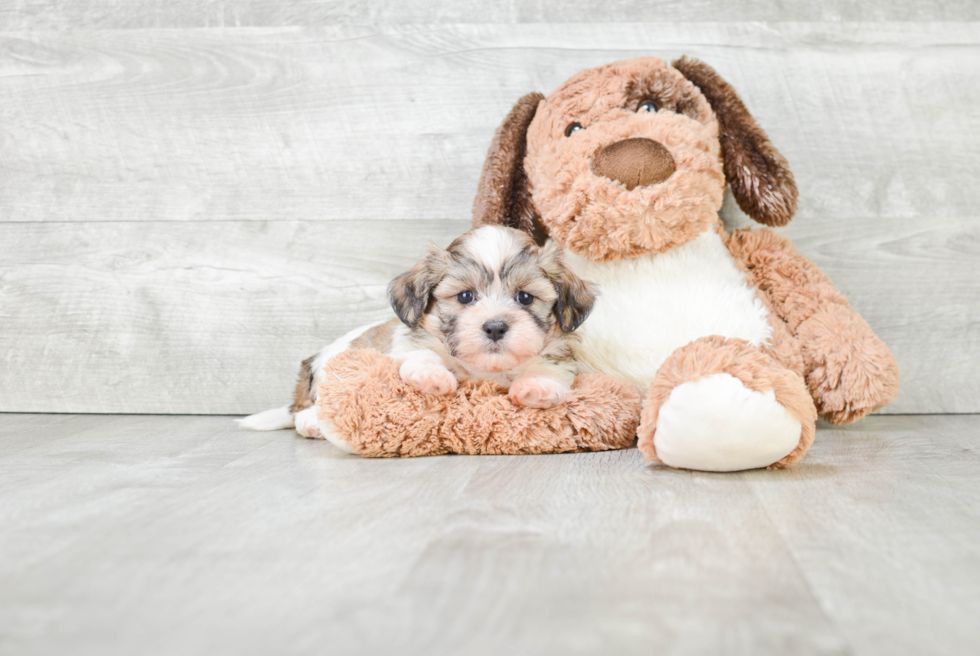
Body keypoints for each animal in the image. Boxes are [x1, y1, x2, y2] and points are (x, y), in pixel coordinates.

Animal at [241, 226, 600, 440]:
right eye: (465, 296)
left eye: (525, 298)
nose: (495, 326)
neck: (486, 371)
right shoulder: (410, 342)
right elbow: (422, 355)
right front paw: (433, 378)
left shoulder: (559, 353)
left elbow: (549, 368)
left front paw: (537, 387)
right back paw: (313, 422)